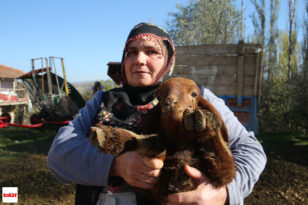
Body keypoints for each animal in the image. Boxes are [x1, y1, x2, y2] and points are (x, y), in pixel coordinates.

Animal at [89, 77, 236, 205]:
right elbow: (158, 143)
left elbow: (223, 158)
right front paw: (109, 136)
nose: (170, 102)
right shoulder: (153, 189)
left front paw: (204, 121)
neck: (180, 144)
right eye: (159, 98)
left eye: (194, 94)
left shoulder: (218, 176)